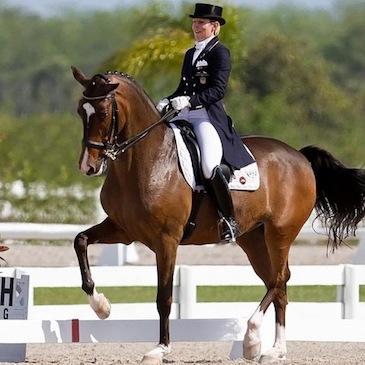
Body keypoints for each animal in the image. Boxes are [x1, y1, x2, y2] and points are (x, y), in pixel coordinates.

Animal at [70, 66, 364, 364]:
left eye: (103, 113)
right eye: (81, 111)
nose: (88, 167)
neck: (147, 160)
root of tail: (300, 157)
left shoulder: (166, 241)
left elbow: (164, 297)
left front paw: (160, 349)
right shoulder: (122, 229)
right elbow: (80, 241)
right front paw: (101, 306)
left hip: (280, 232)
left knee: (280, 278)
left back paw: (251, 339)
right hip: (253, 239)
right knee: (277, 284)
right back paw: (274, 350)